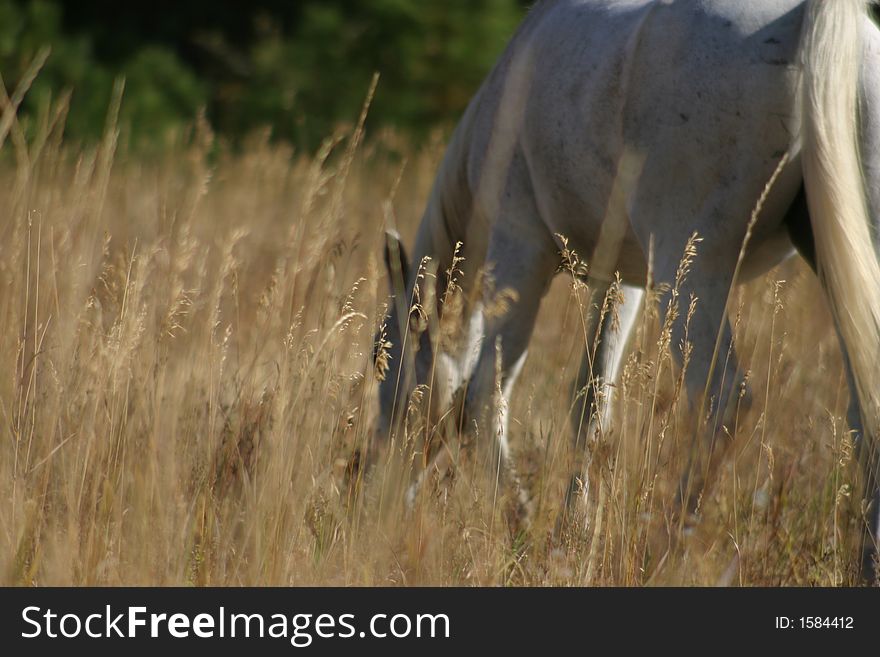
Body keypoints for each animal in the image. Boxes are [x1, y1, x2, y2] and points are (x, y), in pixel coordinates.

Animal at [372, 0, 880, 584]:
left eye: (383, 369)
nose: (370, 490)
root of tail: (802, 21)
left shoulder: (519, 256)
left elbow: (482, 399)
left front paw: (521, 523)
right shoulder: (619, 282)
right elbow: (590, 408)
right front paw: (571, 534)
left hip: (689, 272)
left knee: (722, 400)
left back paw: (661, 548)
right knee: (865, 415)